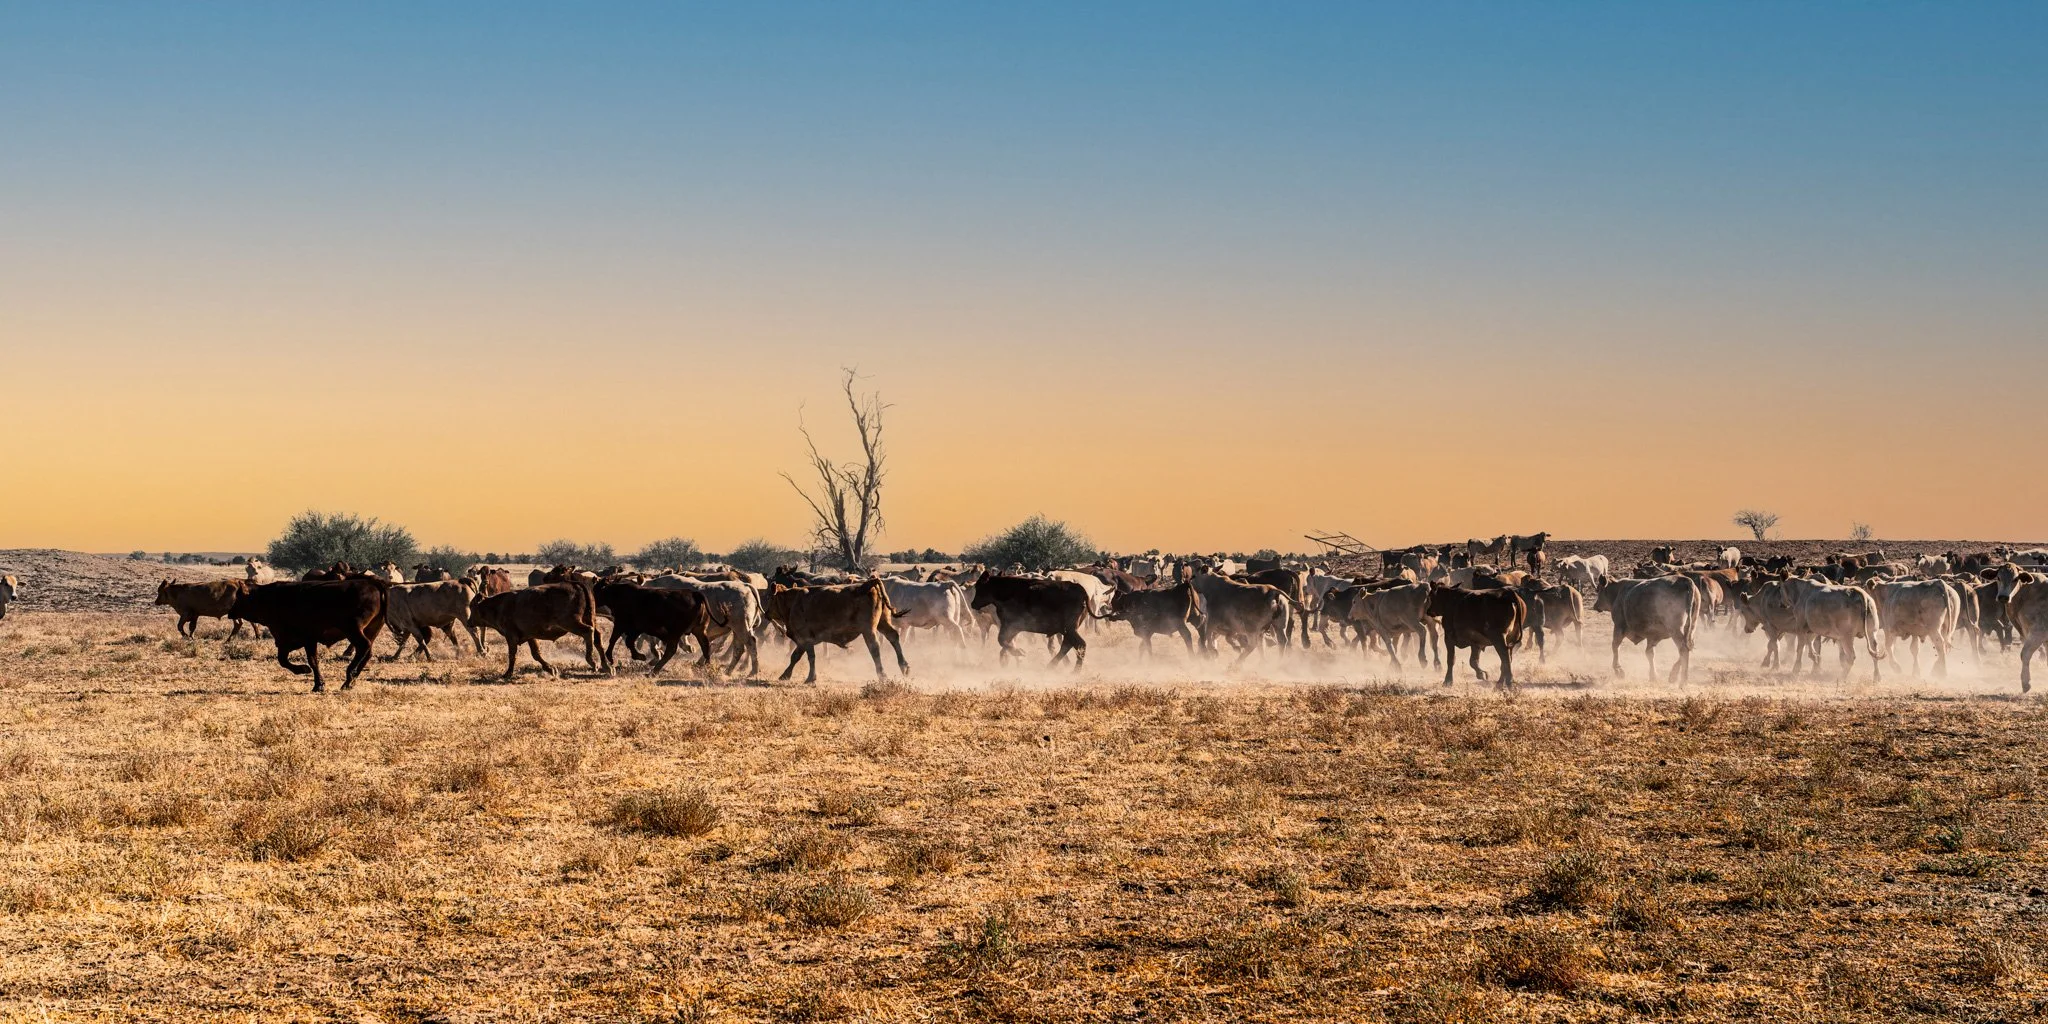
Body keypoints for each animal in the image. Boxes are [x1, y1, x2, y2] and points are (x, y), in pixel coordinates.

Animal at [229, 579, 389, 692]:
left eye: (239, 597)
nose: (230, 613)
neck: (271, 599)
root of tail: (374, 584)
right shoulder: (286, 641)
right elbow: (283, 660)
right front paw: (305, 672)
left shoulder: (307, 639)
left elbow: (311, 661)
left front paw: (316, 682)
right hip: (371, 630)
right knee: (367, 652)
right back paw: (352, 679)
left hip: (353, 630)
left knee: (363, 647)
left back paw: (349, 677)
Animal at [469, 583, 612, 680]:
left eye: (471, 607)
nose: (469, 621)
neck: (498, 605)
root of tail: (576, 584)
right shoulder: (530, 636)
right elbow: (536, 654)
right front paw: (551, 669)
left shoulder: (511, 637)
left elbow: (512, 655)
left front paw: (507, 673)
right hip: (589, 619)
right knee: (597, 637)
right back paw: (607, 666)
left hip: (571, 623)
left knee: (588, 632)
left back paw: (592, 662)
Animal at [593, 580, 722, 676]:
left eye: (596, 589)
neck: (618, 593)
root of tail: (694, 594)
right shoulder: (635, 628)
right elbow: (629, 642)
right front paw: (639, 656)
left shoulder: (622, 624)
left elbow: (615, 639)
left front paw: (611, 658)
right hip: (699, 630)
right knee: (705, 646)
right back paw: (708, 667)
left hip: (675, 632)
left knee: (671, 650)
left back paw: (654, 671)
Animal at [766, 579, 909, 683]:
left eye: (770, 598)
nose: (766, 613)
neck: (793, 601)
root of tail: (867, 584)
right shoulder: (804, 640)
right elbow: (796, 656)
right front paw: (786, 675)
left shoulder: (805, 637)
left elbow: (807, 657)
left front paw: (810, 678)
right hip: (882, 623)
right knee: (893, 636)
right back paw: (904, 666)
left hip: (869, 630)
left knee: (874, 648)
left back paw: (883, 675)